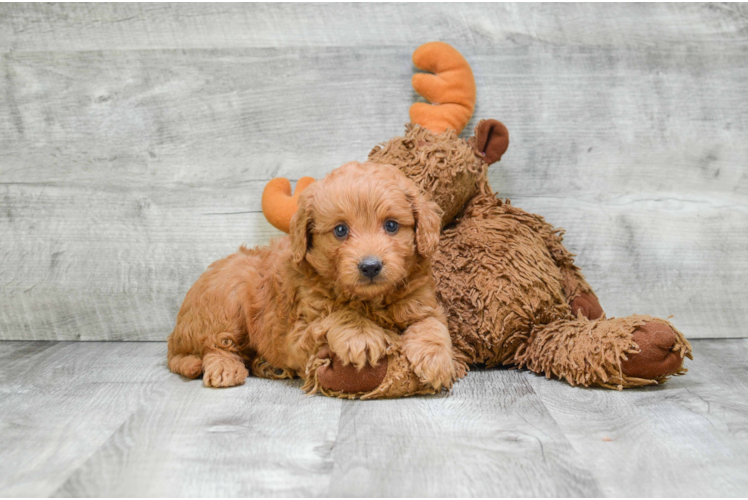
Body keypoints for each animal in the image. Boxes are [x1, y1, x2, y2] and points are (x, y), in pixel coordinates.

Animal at [167, 162, 456, 392]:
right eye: (340, 230)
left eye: (392, 225)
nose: (370, 266)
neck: (369, 301)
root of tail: (174, 336)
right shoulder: (297, 331)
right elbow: (338, 315)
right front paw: (361, 335)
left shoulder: (422, 302)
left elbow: (432, 324)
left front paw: (437, 359)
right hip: (229, 295)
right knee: (214, 345)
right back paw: (225, 368)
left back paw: (267, 366)